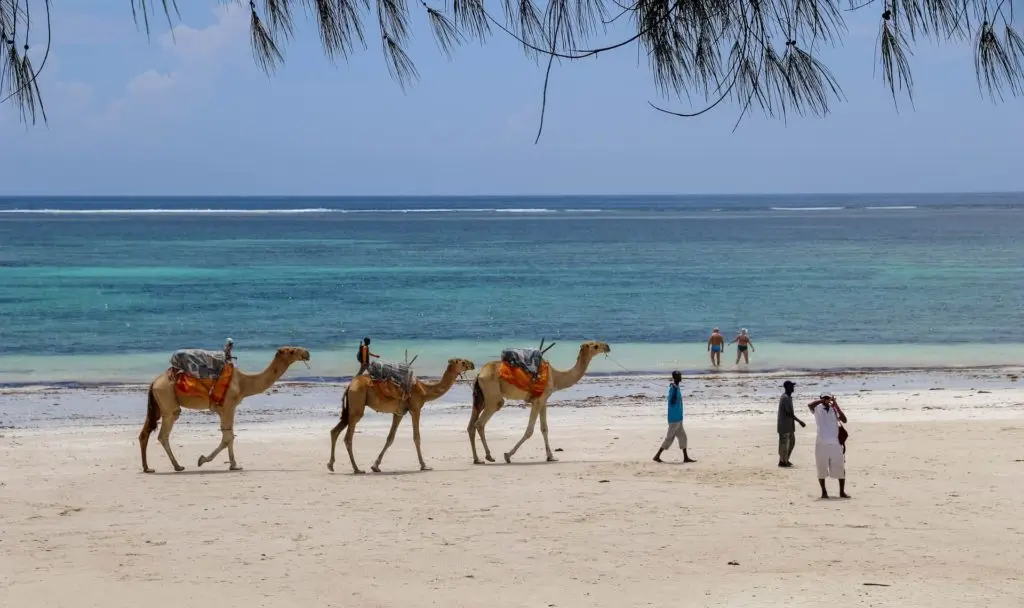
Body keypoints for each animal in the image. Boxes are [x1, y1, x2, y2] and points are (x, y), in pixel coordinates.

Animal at [138, 343, 309, 470]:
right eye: (292, 350)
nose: (307, 352)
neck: (243, 383)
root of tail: (154, 382)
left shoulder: (226, 409)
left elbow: (230, 435)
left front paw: (233, 465)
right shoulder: (228, 406)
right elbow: (228, 437)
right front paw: (203, 460)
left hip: (158, 405)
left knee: (146, 432)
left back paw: (148, 468)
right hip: (168, 403)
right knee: (163, 434)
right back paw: (177, 466)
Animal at [325, 354, 477, 472]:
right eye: (462, 362)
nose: (472, 363)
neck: (425, 390)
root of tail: (350, 385)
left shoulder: (399, 413)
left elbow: (390, 438)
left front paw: (375, 466)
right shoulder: (415, 408)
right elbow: (417, 437)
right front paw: (424, 465)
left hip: (350, 409)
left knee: (335, 431)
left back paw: (331, 465)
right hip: (357, 405)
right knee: (348, 437)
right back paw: (356, 469)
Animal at [468, 337, 610, 460]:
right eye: (595, 346)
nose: (607, 346)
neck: (556, 377)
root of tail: (479, 374)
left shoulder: (544, 401)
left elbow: (544, 428)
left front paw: (550, 456)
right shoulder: (537, 401)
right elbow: (529, 431)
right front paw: (508, 455)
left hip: (481, 398)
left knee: (471, 425)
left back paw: (477, 459)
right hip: (493, 396)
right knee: (480, 422)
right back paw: (489, 456)